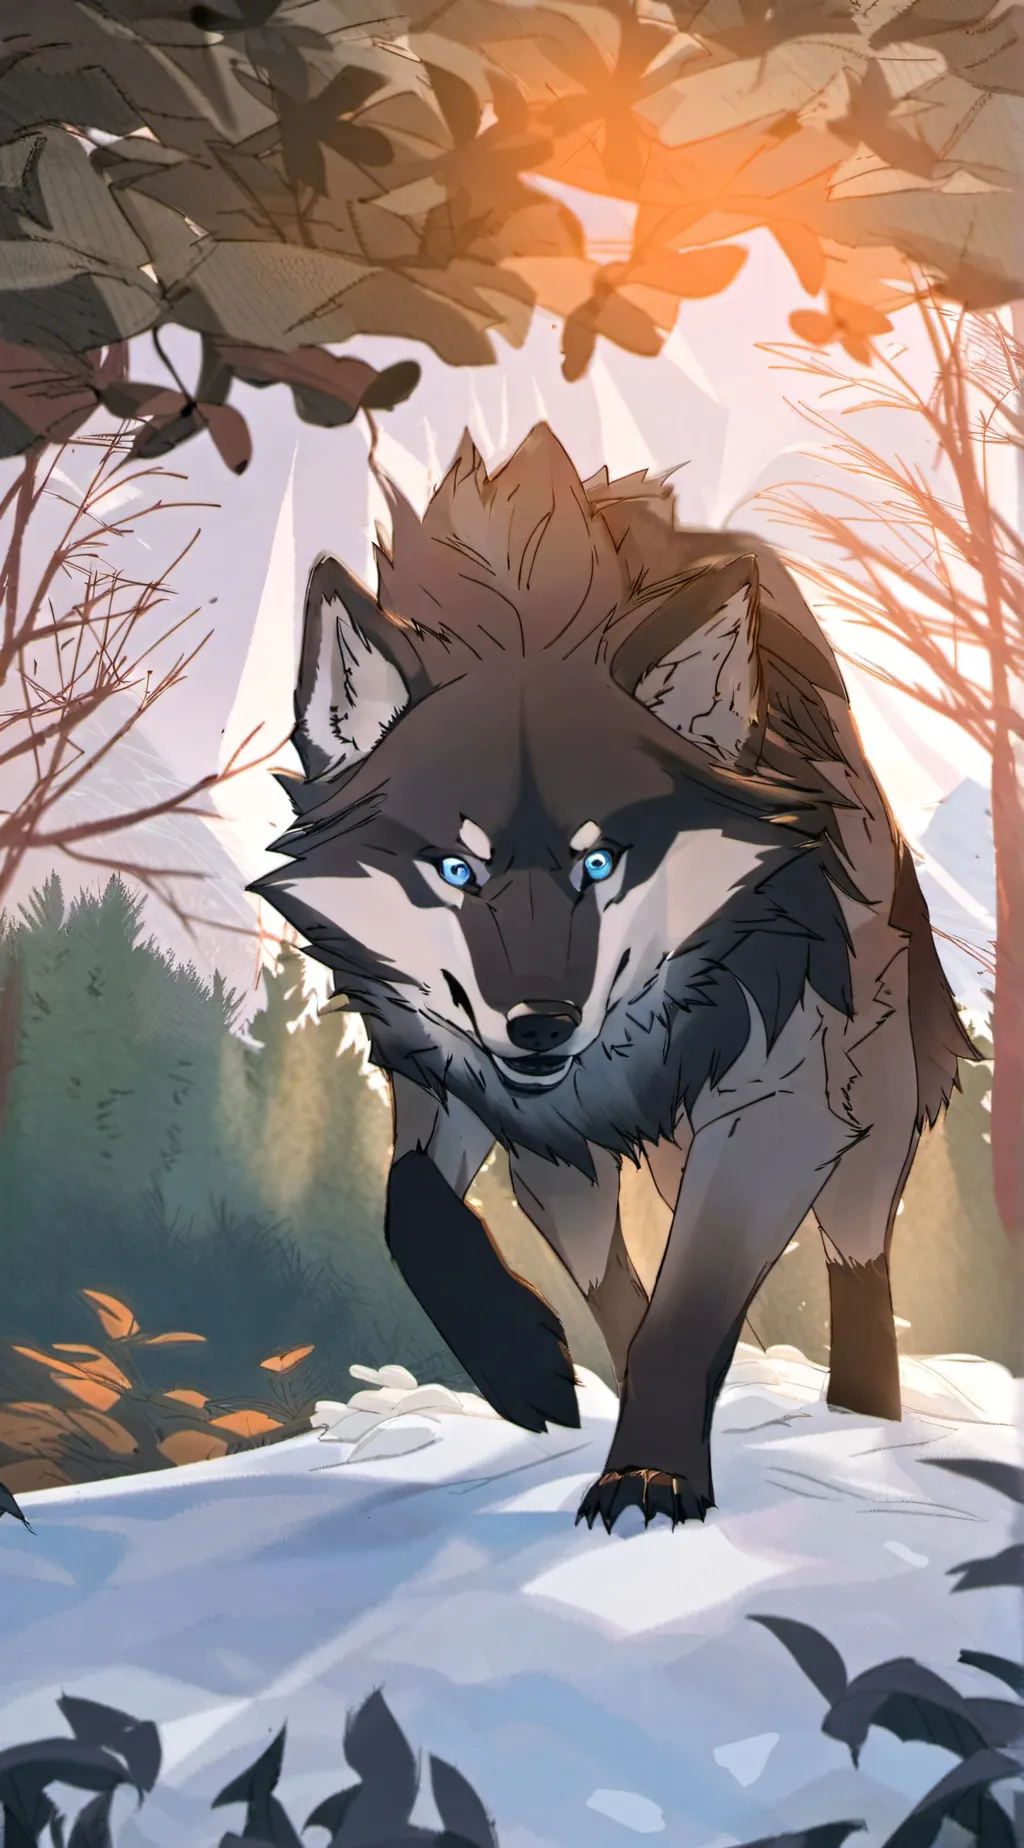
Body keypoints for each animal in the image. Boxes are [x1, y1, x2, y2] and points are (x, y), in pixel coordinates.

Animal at [252, 423, 978, 1534]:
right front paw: (528, 1373)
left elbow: (688, 1308)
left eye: (600, 863)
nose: (539, 1026)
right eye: (454, 869)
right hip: (566, 1169)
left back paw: (864, 1420)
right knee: (603, 1264)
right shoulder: (456, 1088)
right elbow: (410, 1209)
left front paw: (649, 1475)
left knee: (857, 1258)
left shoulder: (778, 1103)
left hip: (869, 1103)